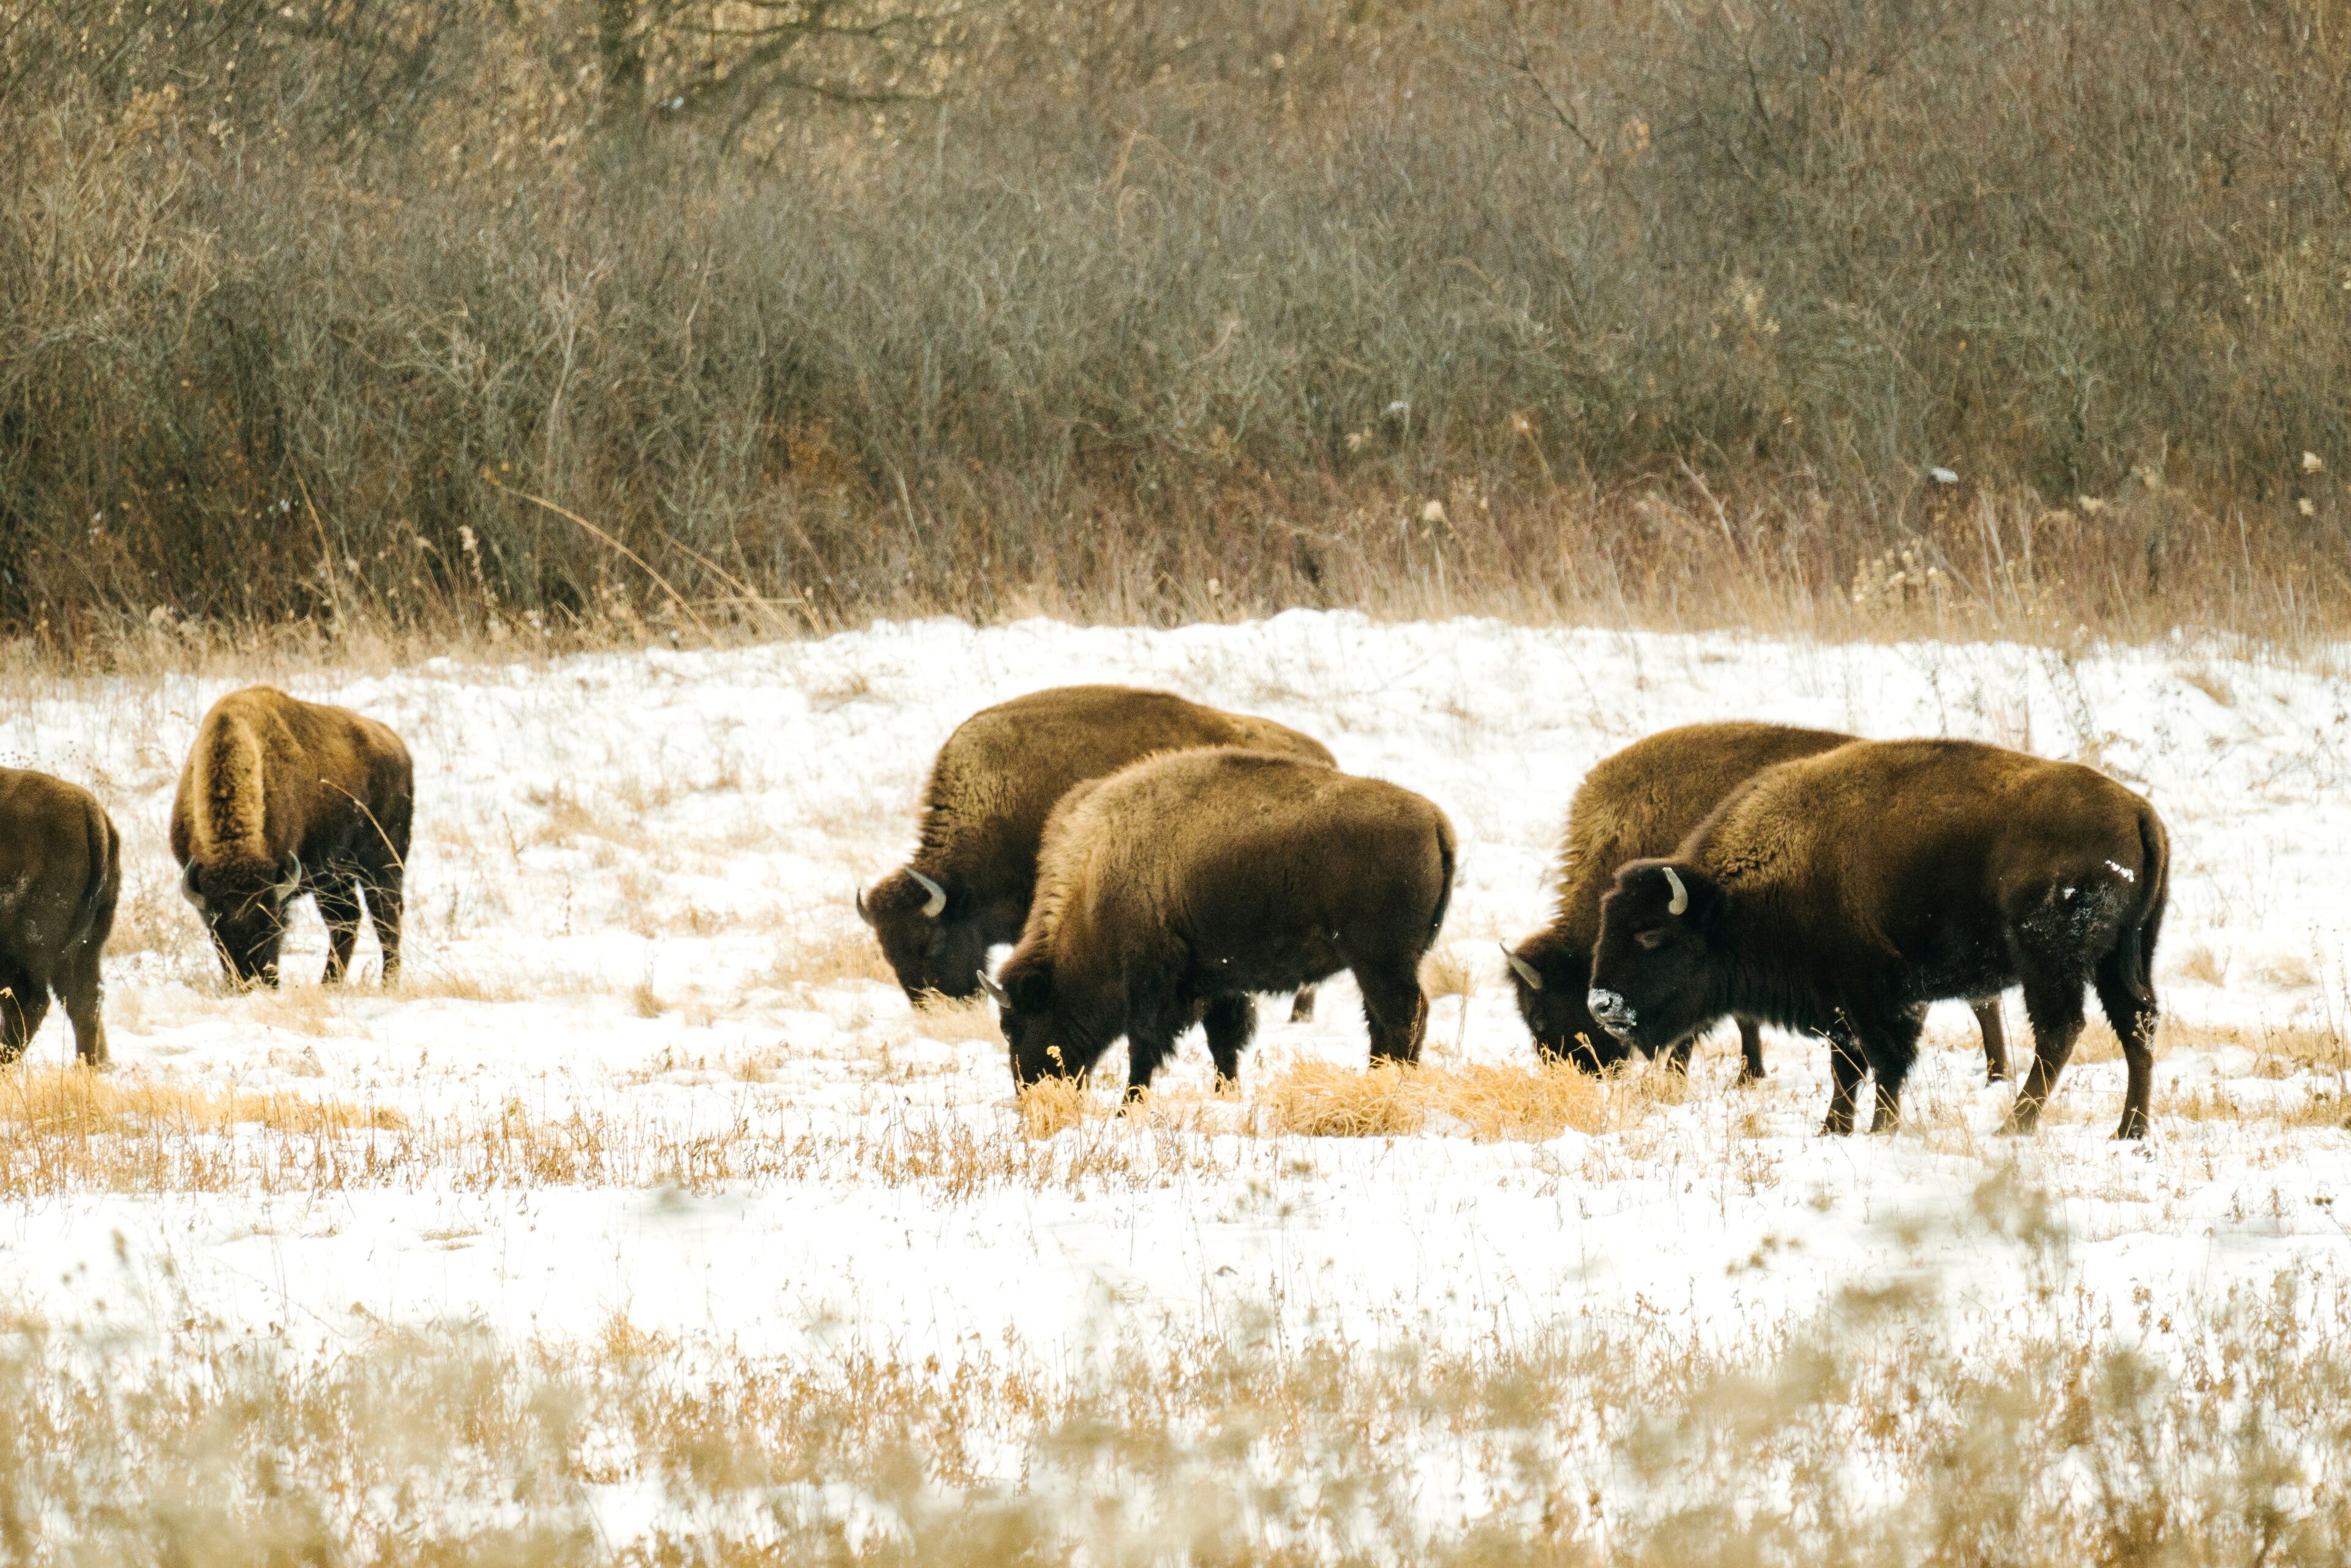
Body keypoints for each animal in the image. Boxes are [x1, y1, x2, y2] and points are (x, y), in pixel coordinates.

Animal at [172, 687, 413, 988]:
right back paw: (328, 984)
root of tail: (396, 744)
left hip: (383, 863)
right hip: (335, 877)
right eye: (217, 932)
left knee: (385, 917)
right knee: (346, 920)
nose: (251, 982)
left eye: (274, 927)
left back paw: (386, 982)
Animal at [982, 748, 1454, 1095]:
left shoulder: (1152, 984)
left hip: (1381, 962)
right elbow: (1223, 1043)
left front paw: (1128, 1105)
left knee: (1404, 1016)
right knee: (1383, 1020)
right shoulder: (1218, 981)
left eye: (1013, 1026)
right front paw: (1225, 1094)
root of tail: (1434, 818)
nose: (1028, 1089)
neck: (1097, 879)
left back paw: (1395, 1084)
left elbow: (1144, 1049)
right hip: (1378, 965)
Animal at [1504, 722, 2009, 1082]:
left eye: (1541, 1013)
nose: (1577, 1072)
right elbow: (1743, 1017)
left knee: (1984, 1002)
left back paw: (1997, 1076)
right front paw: (1749, 1073)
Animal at [1587, 738, 2167, 1138]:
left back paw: (2016, 1126)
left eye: (1652, 934)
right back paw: (2129, 1130)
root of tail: (2139, 811)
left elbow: (1881, 1062)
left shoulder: (1870, 996)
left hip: (2048, 962)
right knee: (2136, 1024)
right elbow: (1848, 1067)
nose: (1601, 1004)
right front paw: (1833, 1128)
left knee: (2060, 1031)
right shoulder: (1845, 1005)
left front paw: (1876, 1128)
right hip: (2125, 957)